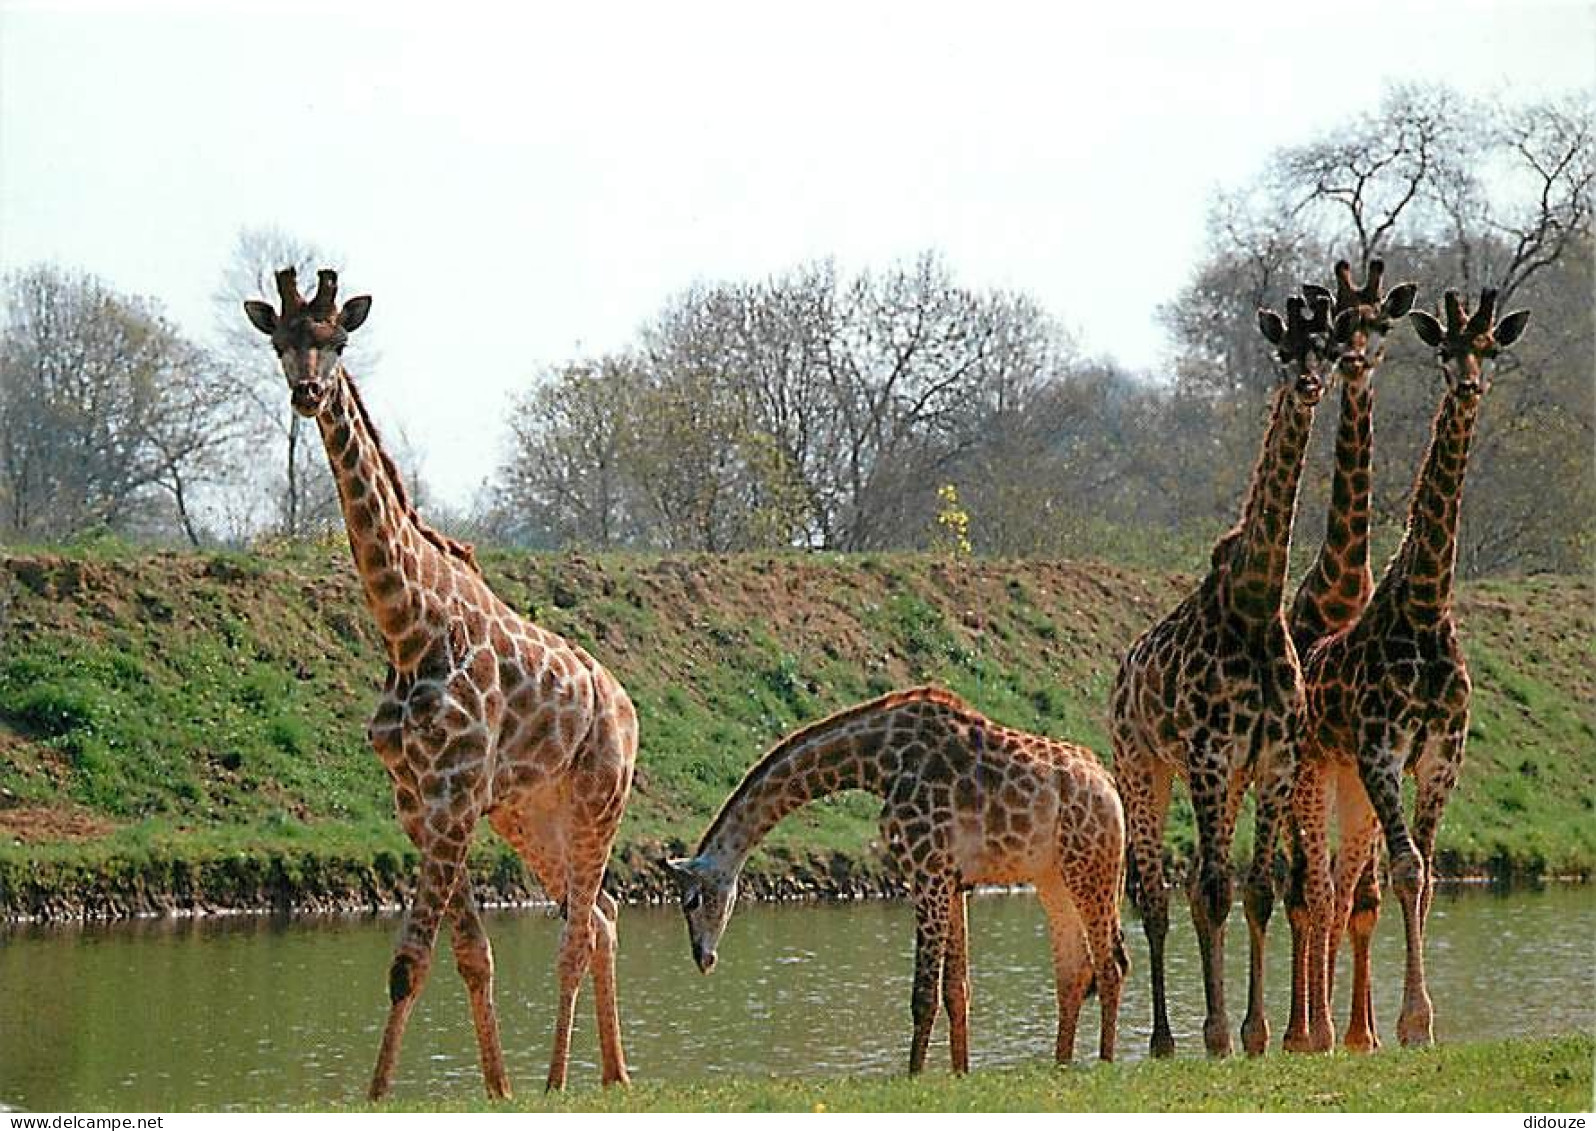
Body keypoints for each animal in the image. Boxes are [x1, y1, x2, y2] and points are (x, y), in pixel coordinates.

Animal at [240, 269, 635, 1097]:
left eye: (339, 340)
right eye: (280, 341)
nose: (307, 393)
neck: (407, 626)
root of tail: (625, 701)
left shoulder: (453, 795)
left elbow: (410, 961)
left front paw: (388, 1094)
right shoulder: (419, 802)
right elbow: (464, 956)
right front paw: (494, 1088)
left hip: (598, 801)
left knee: (578, 933)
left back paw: (561, 1083)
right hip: (530, 815)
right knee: (604, 914)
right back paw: (612, 1076)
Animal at [667, 682, 1129, 1071]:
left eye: (691, 900)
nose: (703, 958)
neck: (879, 763)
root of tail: (1111, 786)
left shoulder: (925, 872)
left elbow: (923, 995)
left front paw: (913, 1076)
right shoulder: (951, 880)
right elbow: (957, 991)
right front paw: (960, 1073)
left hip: (1091, 868)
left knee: (1111, 966)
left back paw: (1105, 1064)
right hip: (1053, 878)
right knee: (1074, 972)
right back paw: (1060, 1066)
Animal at [1110, 287, 1334, 1052]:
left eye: (1330, 348)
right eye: (1283, 351)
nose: (1310, 386)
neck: (1257, 602)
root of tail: (1119, 676)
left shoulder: (1273, 759)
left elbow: (1256, 888)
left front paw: (1257, 1031)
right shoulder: (1207, 754)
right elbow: (1210, 888)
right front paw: (1215, 1030)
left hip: (1226, 779)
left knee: (1200, 886)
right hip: (1142, 766)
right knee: (1156, 893)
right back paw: (1163, 1038)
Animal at [1295, 288, 1532, 1052]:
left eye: (1489, 347)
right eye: (1444, 349)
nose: (1469, 384)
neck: (1427, 607)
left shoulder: (1440, 756)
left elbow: (1424, 880)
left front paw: (1415, 1022)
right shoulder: (1381, 749)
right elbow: (1409, 868)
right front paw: (1413, 1020)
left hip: (1352, 783)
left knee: (1341, 885)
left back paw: (1336, 1027)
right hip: (1314, 771)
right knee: (1313, 885)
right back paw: (1313, 1030)